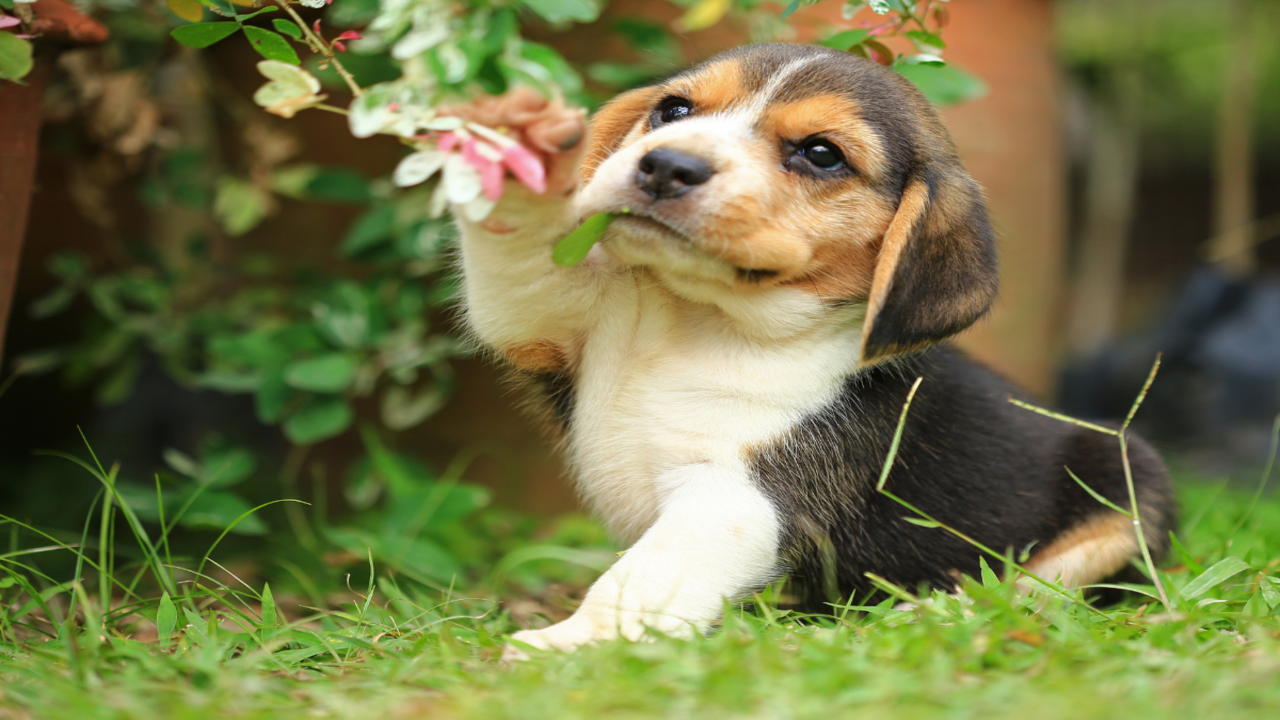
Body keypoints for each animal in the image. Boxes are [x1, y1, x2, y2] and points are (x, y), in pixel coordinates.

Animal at [448, 43, 1172, 650]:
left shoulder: (739, 499)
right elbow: (524, 271)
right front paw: (523, 148)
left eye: (821, 154)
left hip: (1129, 492)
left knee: (1037, 589)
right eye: (673, 109)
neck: (704, 319)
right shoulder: (554, 319)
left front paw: (568, 644)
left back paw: (934, 613)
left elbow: (643, 576)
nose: (668, 164)